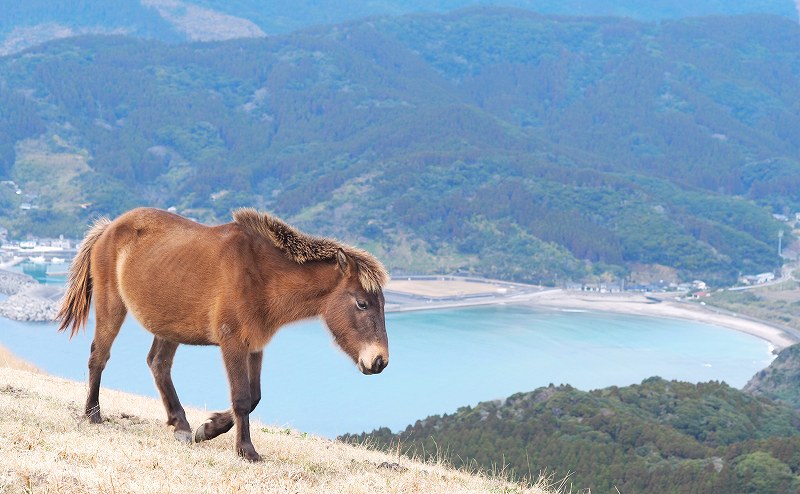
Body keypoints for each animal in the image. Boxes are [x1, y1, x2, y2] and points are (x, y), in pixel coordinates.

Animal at [57, 206, 390, 462]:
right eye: (362, 303)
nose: (380, 361)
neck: (262, 274)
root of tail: (108, 227)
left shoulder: (255, 346)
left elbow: (254, 397)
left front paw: (208, 429)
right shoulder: (232, 343)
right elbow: (241, 398)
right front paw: (246, 451)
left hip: (169, 325)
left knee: (158, 364)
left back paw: (181, 425)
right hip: (112, 306)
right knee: (99, 356)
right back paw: (93, 414)